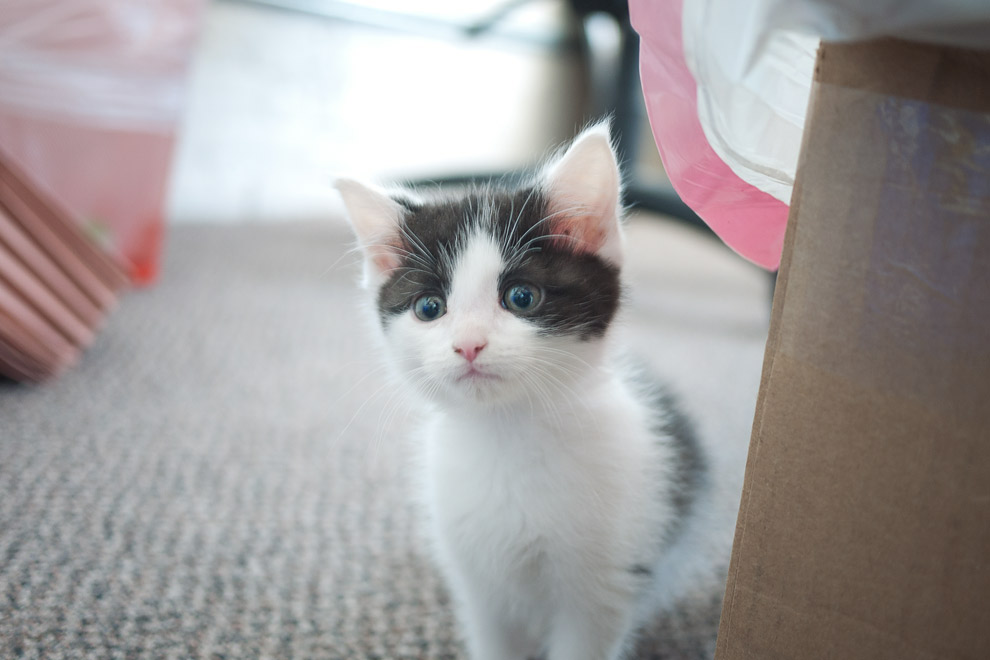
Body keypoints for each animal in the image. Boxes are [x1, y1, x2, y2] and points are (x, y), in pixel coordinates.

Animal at [338, 125, 732, 660]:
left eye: (521, 297)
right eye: (429, 308)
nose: (468, 344)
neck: (508, 435)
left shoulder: (603, 582)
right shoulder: (478, 578)